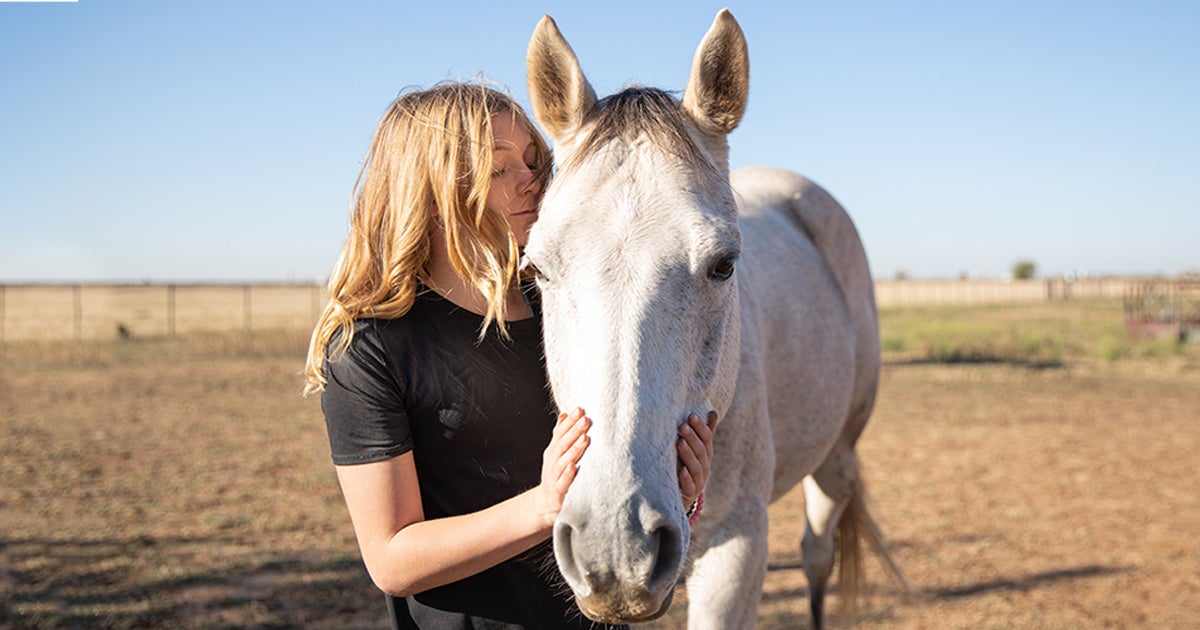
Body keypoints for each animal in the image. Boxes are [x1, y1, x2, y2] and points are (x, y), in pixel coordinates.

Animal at [524, 10, 904, 628]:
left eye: (724, 265)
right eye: (537, 270)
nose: (617, 546)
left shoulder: (738, 550)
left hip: (837, 459)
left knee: (817, 555)